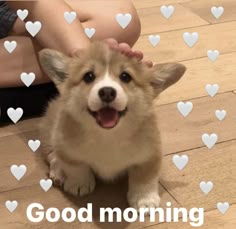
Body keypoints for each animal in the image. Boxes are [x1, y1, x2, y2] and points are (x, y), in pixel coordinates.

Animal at [38, 41, 186, 209]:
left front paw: (145, 200)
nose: (107, 92)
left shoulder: (150, 154)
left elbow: (144, 178)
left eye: (125, 77)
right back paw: (58, 171)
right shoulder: (65, 146)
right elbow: (75, 166)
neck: (108, 136)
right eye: (88, 76)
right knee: (52, 155)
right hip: (50, 131)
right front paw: (79, 183)